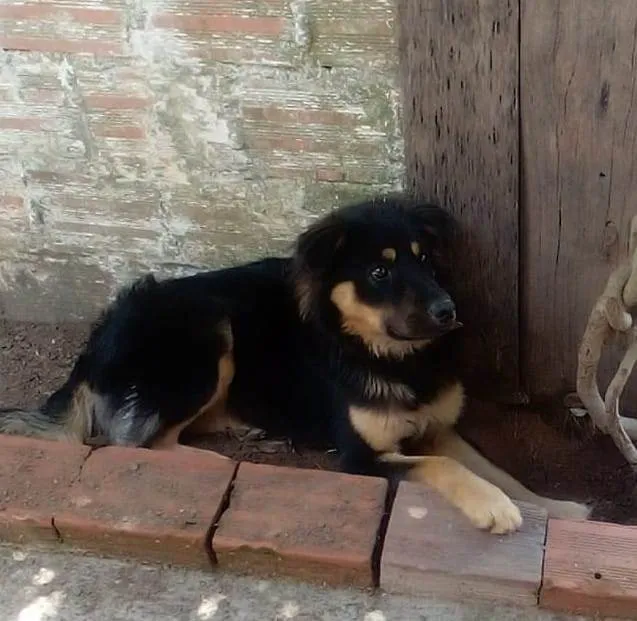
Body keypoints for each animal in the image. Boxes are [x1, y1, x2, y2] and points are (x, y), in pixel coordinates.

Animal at [0, 195, 588, 532]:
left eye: (425, 261)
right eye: (380, 272)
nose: (449, 312)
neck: (384, 354)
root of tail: (94, 344)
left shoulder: (438, 429)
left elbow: (496, 469)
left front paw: (556, 508)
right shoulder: (361, 459)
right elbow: (443, 467)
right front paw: (494, 508)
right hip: (208, 329)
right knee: (138, 445)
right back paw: (213, 462)